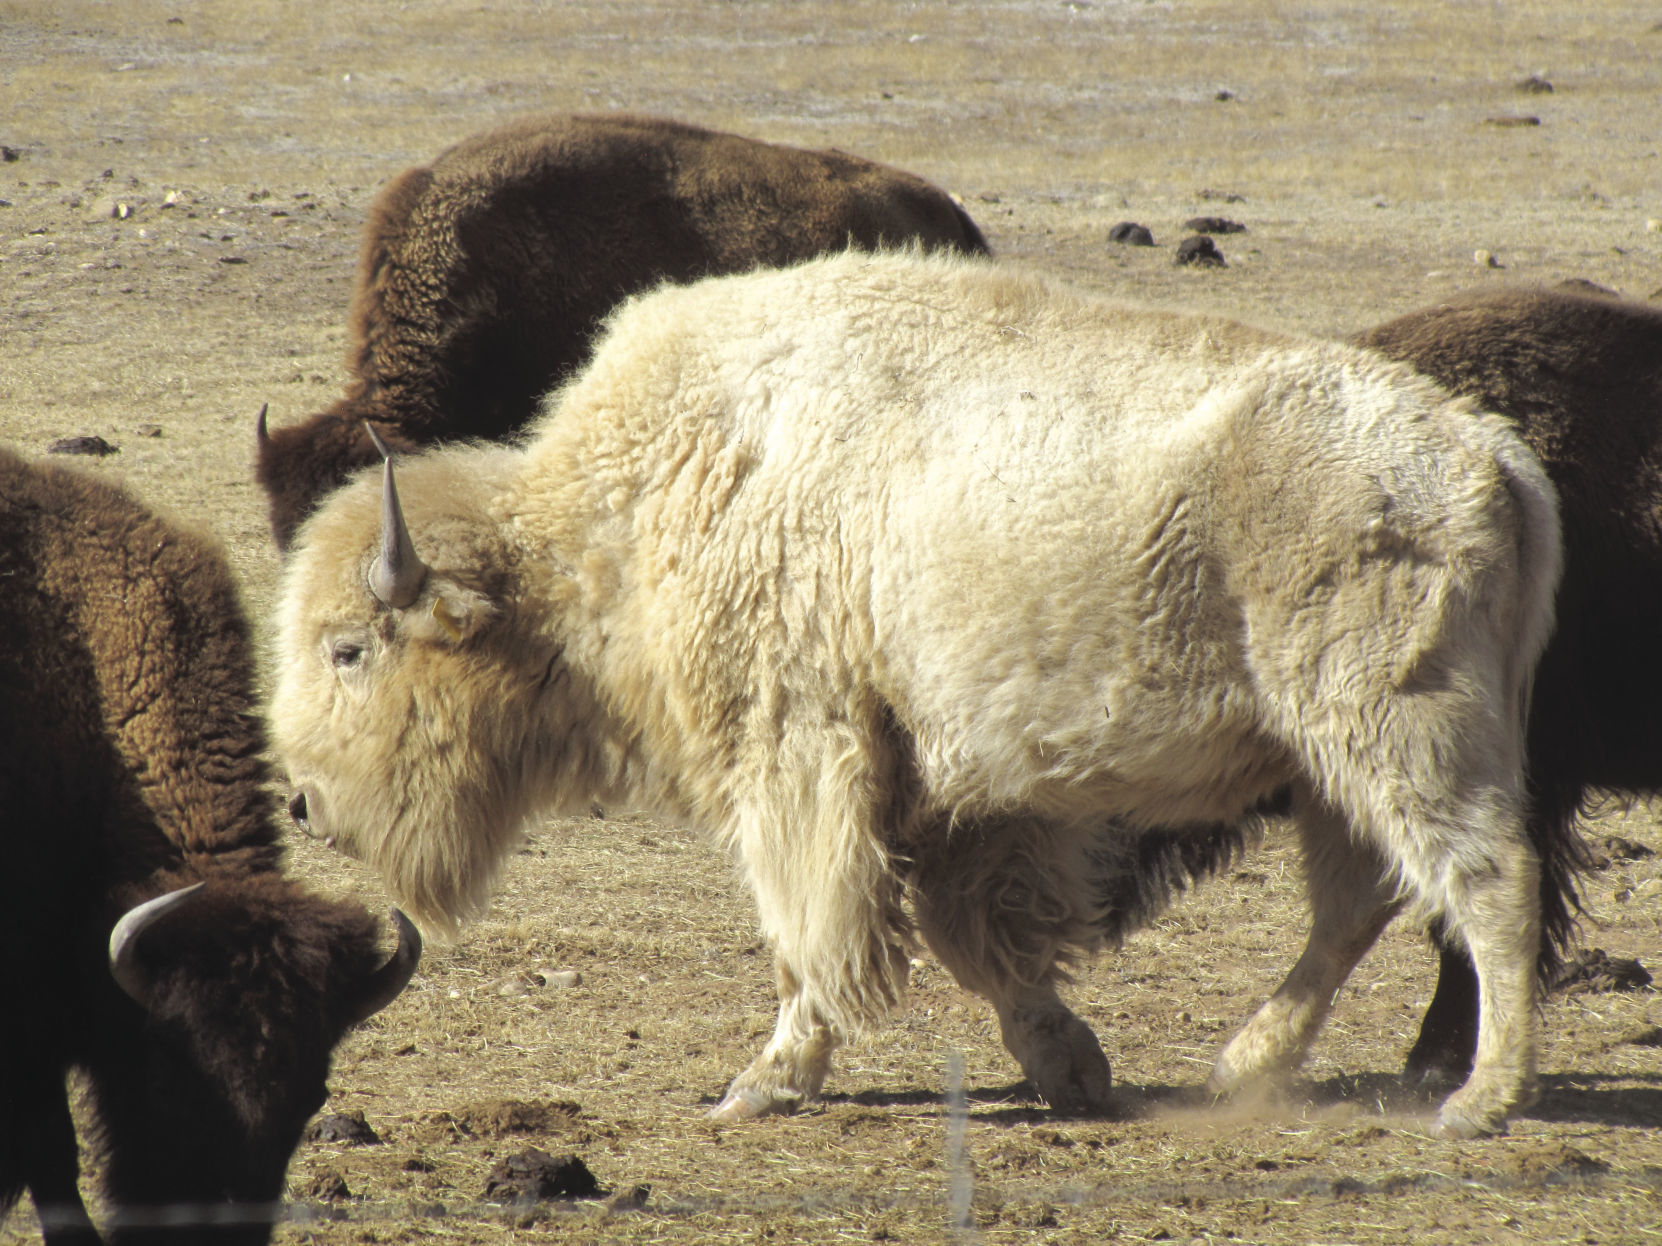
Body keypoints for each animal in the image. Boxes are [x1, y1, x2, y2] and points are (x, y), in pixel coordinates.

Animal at [269, 250, 1555, 1142]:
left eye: (348, 649)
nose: (306, 805)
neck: (629, 502)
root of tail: (1485, 454)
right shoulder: (940, 791)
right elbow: (973, 937)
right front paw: (1069, 1065)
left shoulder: (801, 761)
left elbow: (812, 935)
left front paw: (762, 1083)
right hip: (1324, 763)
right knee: (1358, 903)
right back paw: (1242, 1068)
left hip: (1399, 730)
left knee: (1485, 882)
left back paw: (1478, 1101)